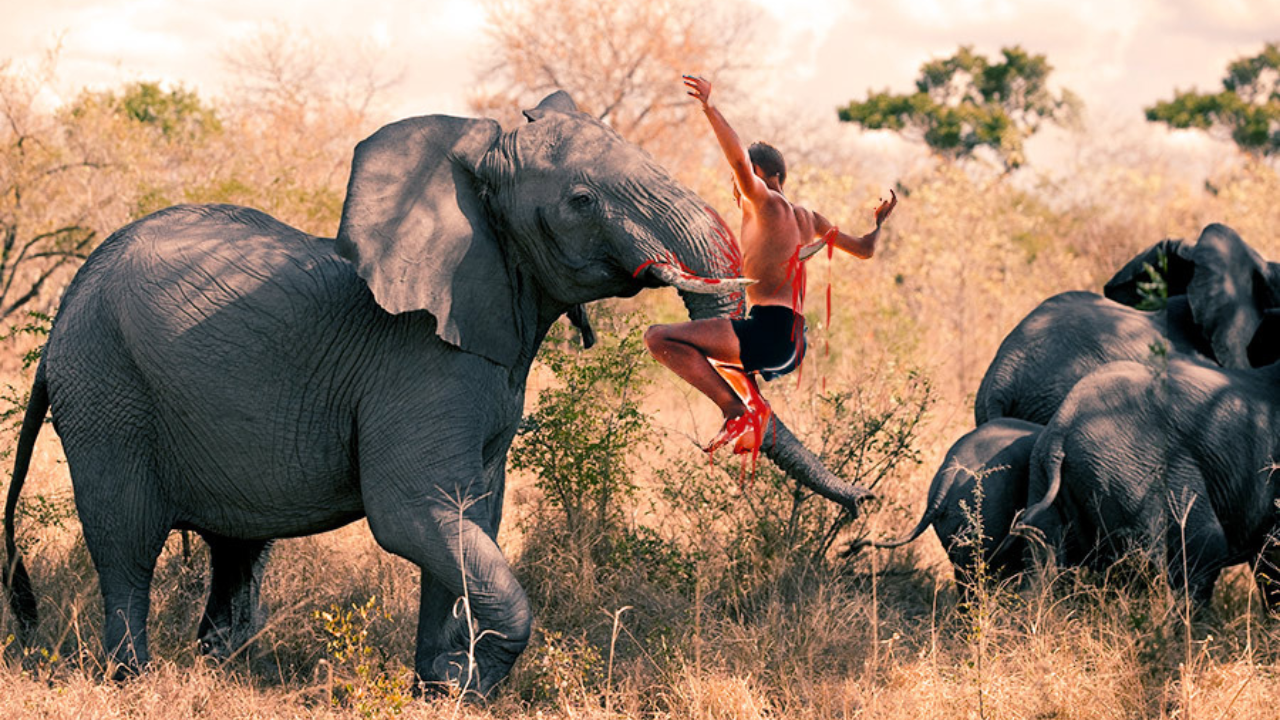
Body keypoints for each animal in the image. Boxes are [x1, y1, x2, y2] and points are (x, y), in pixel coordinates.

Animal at [0, 91, 872, 695]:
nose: (863, 508)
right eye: (581, 200)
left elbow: (471, 516)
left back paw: (216, 671)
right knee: (126, 539)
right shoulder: (418, 362)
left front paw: (436, 688)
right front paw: (467, 686)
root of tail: (67, 305)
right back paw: (133, 680)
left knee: (236, 550)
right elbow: (414, 512)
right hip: (106, 388)